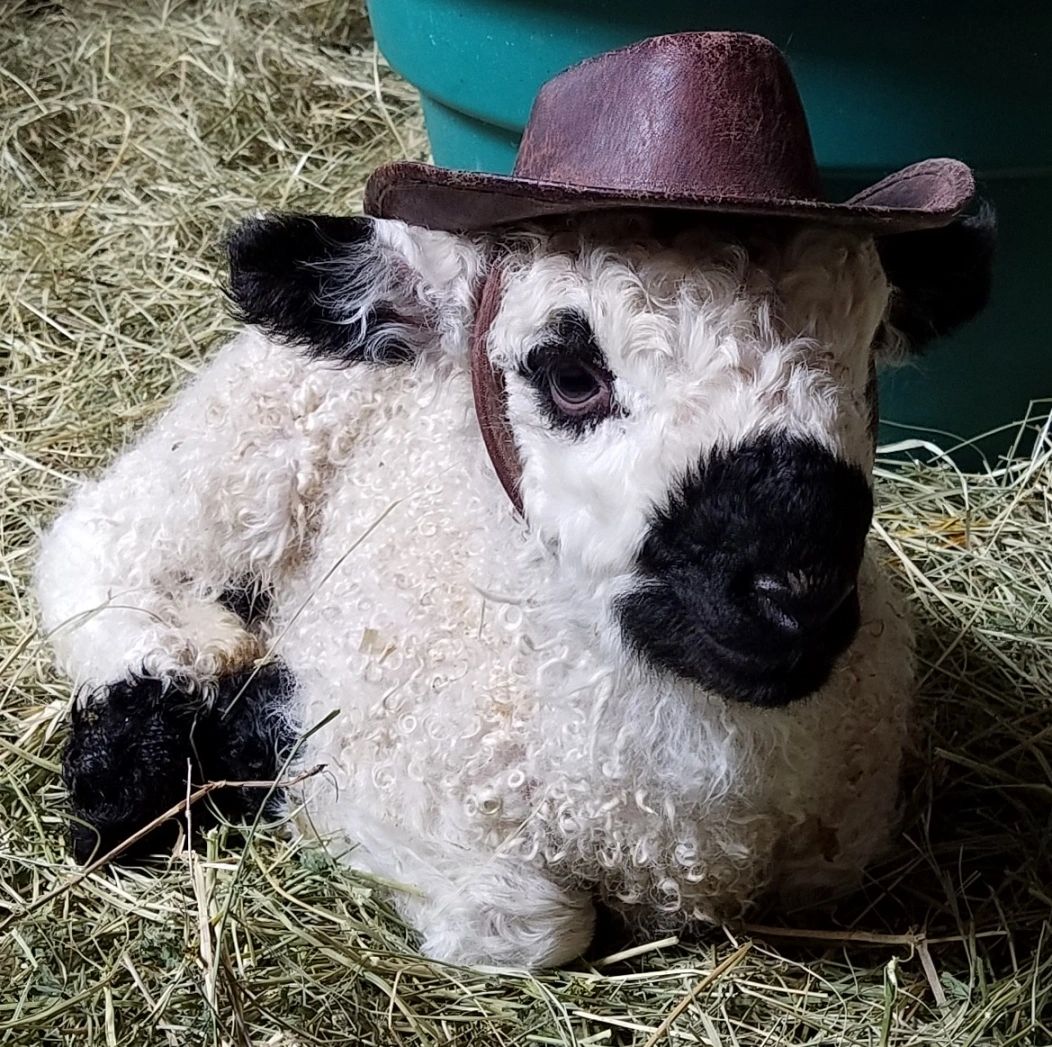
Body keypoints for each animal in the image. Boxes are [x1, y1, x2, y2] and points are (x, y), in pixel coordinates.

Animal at [34, 196, 993, 968]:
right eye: (571, 377)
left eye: (866, 362)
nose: (796, 590)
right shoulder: (374, 775)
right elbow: (528, 923)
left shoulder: (843, 831)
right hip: (239, 453)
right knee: (94, 548)